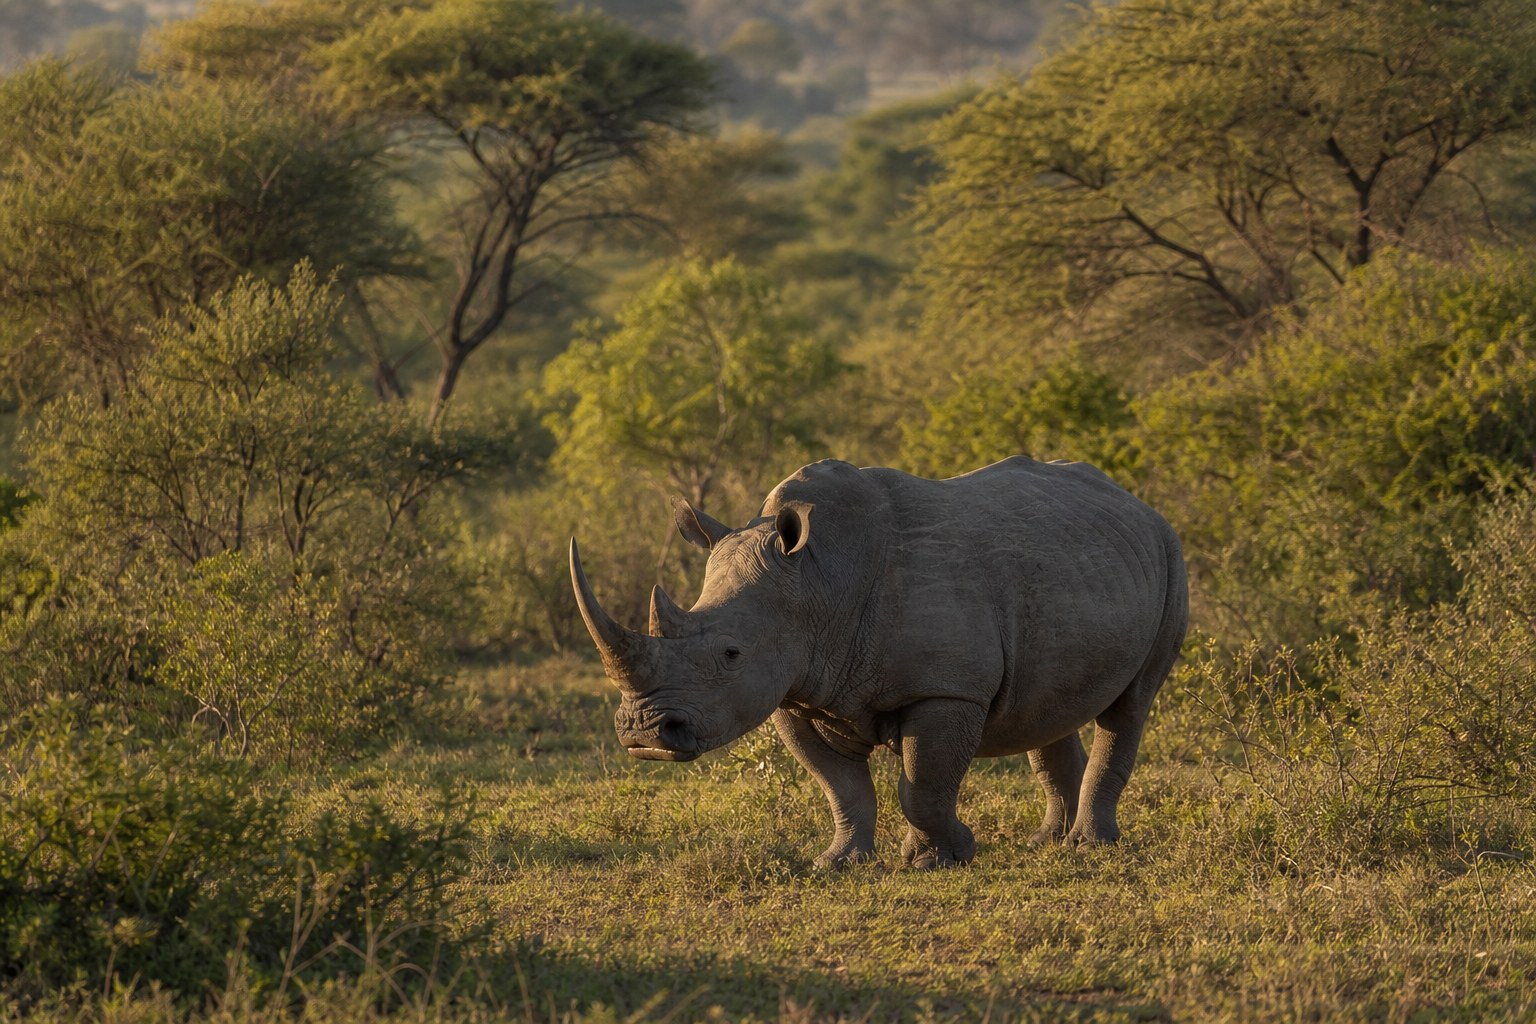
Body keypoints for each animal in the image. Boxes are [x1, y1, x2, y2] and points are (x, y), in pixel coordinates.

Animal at [569, 457, 1188, 868]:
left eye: (730, 654)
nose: (644, 736)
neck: (818, 581)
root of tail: (1140, 504)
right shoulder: (797, 691)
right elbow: (842, 788)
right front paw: (840, 863)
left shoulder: (946, 687)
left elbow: (923, 785)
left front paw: (941, 858)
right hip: (1081, 565)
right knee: (1046, 707)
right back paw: (1048, 842)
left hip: (1170, 555)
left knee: (1130, 706)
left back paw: (1090, 845)